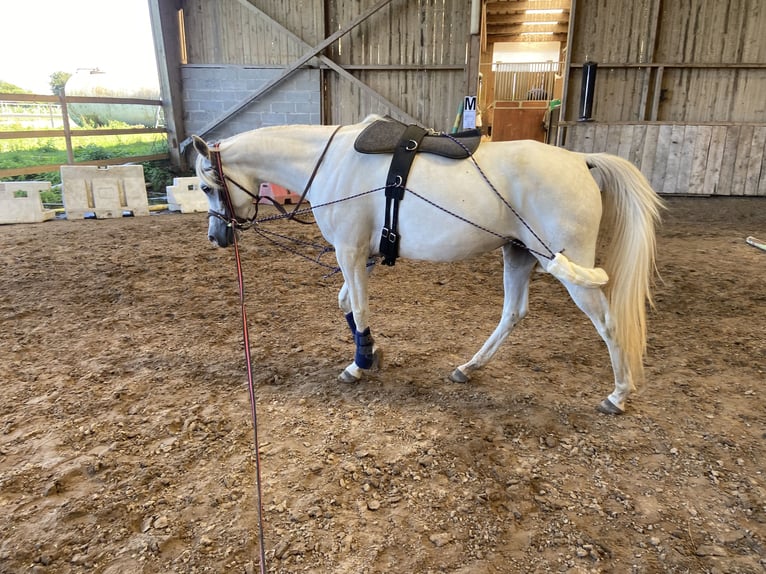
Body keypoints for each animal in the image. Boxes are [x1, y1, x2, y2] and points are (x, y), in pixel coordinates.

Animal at [194, 116, 664, 414]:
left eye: (204, 186)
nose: (217, 237)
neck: (330, 163)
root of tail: (580, 160)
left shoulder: (349, 251)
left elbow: (358, 308)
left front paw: (358, 365)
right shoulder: (363, 255)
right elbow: (347, 304)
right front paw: (371, 351)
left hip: (568, 265)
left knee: (607, 323)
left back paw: (619, 395)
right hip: (518, 253)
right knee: (513, 313)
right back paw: (468, 368)